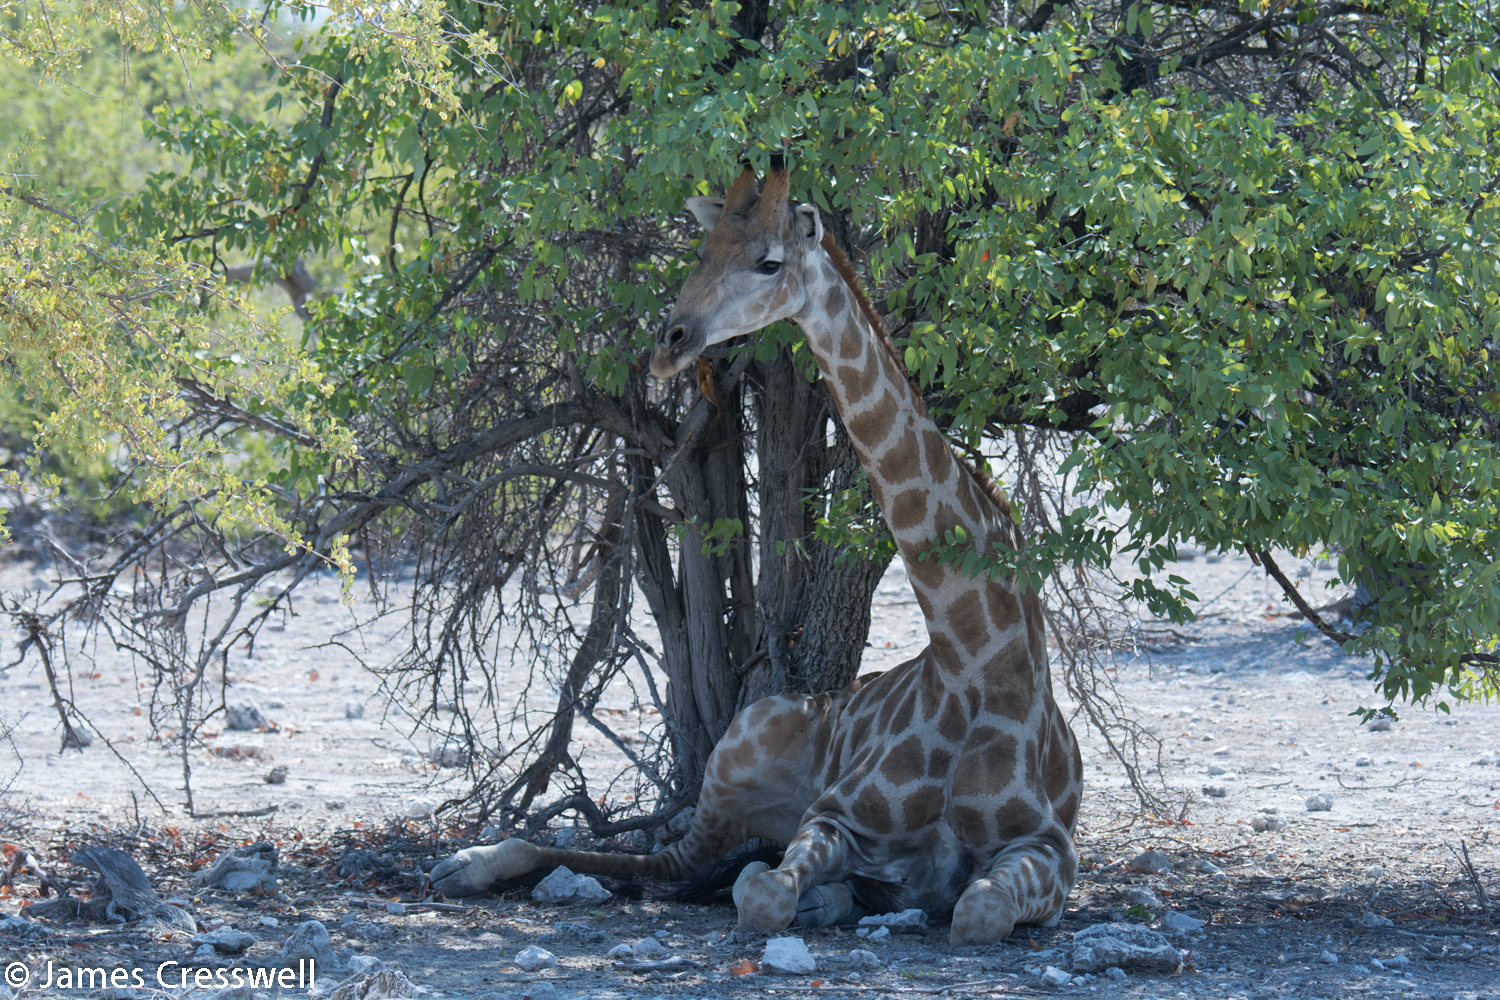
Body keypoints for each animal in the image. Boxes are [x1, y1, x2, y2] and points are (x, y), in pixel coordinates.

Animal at [429, 159, 1083, 945]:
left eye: (768, 262)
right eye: (702, 251)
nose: (670, 343)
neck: (976, 659)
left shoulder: (1050, 850)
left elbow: (976, 908)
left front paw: (858, 896)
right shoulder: (832, 816)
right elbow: (764, 893)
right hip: (739, 748)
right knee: (673, 860)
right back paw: (466, 862)